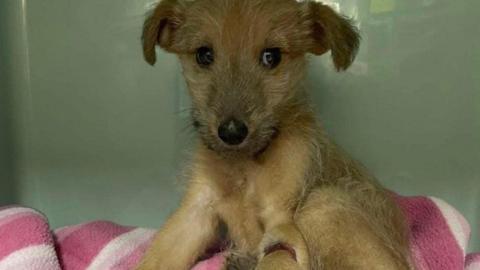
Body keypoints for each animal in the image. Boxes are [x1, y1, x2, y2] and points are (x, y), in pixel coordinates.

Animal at [136, 0, 412, 270]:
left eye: (272, 57)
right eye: (204, 55)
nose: (232, 133)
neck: (244, 165)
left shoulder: (280, 219)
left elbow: (275, 256)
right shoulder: (196, 210)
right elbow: (157, 258)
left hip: (323, 202)